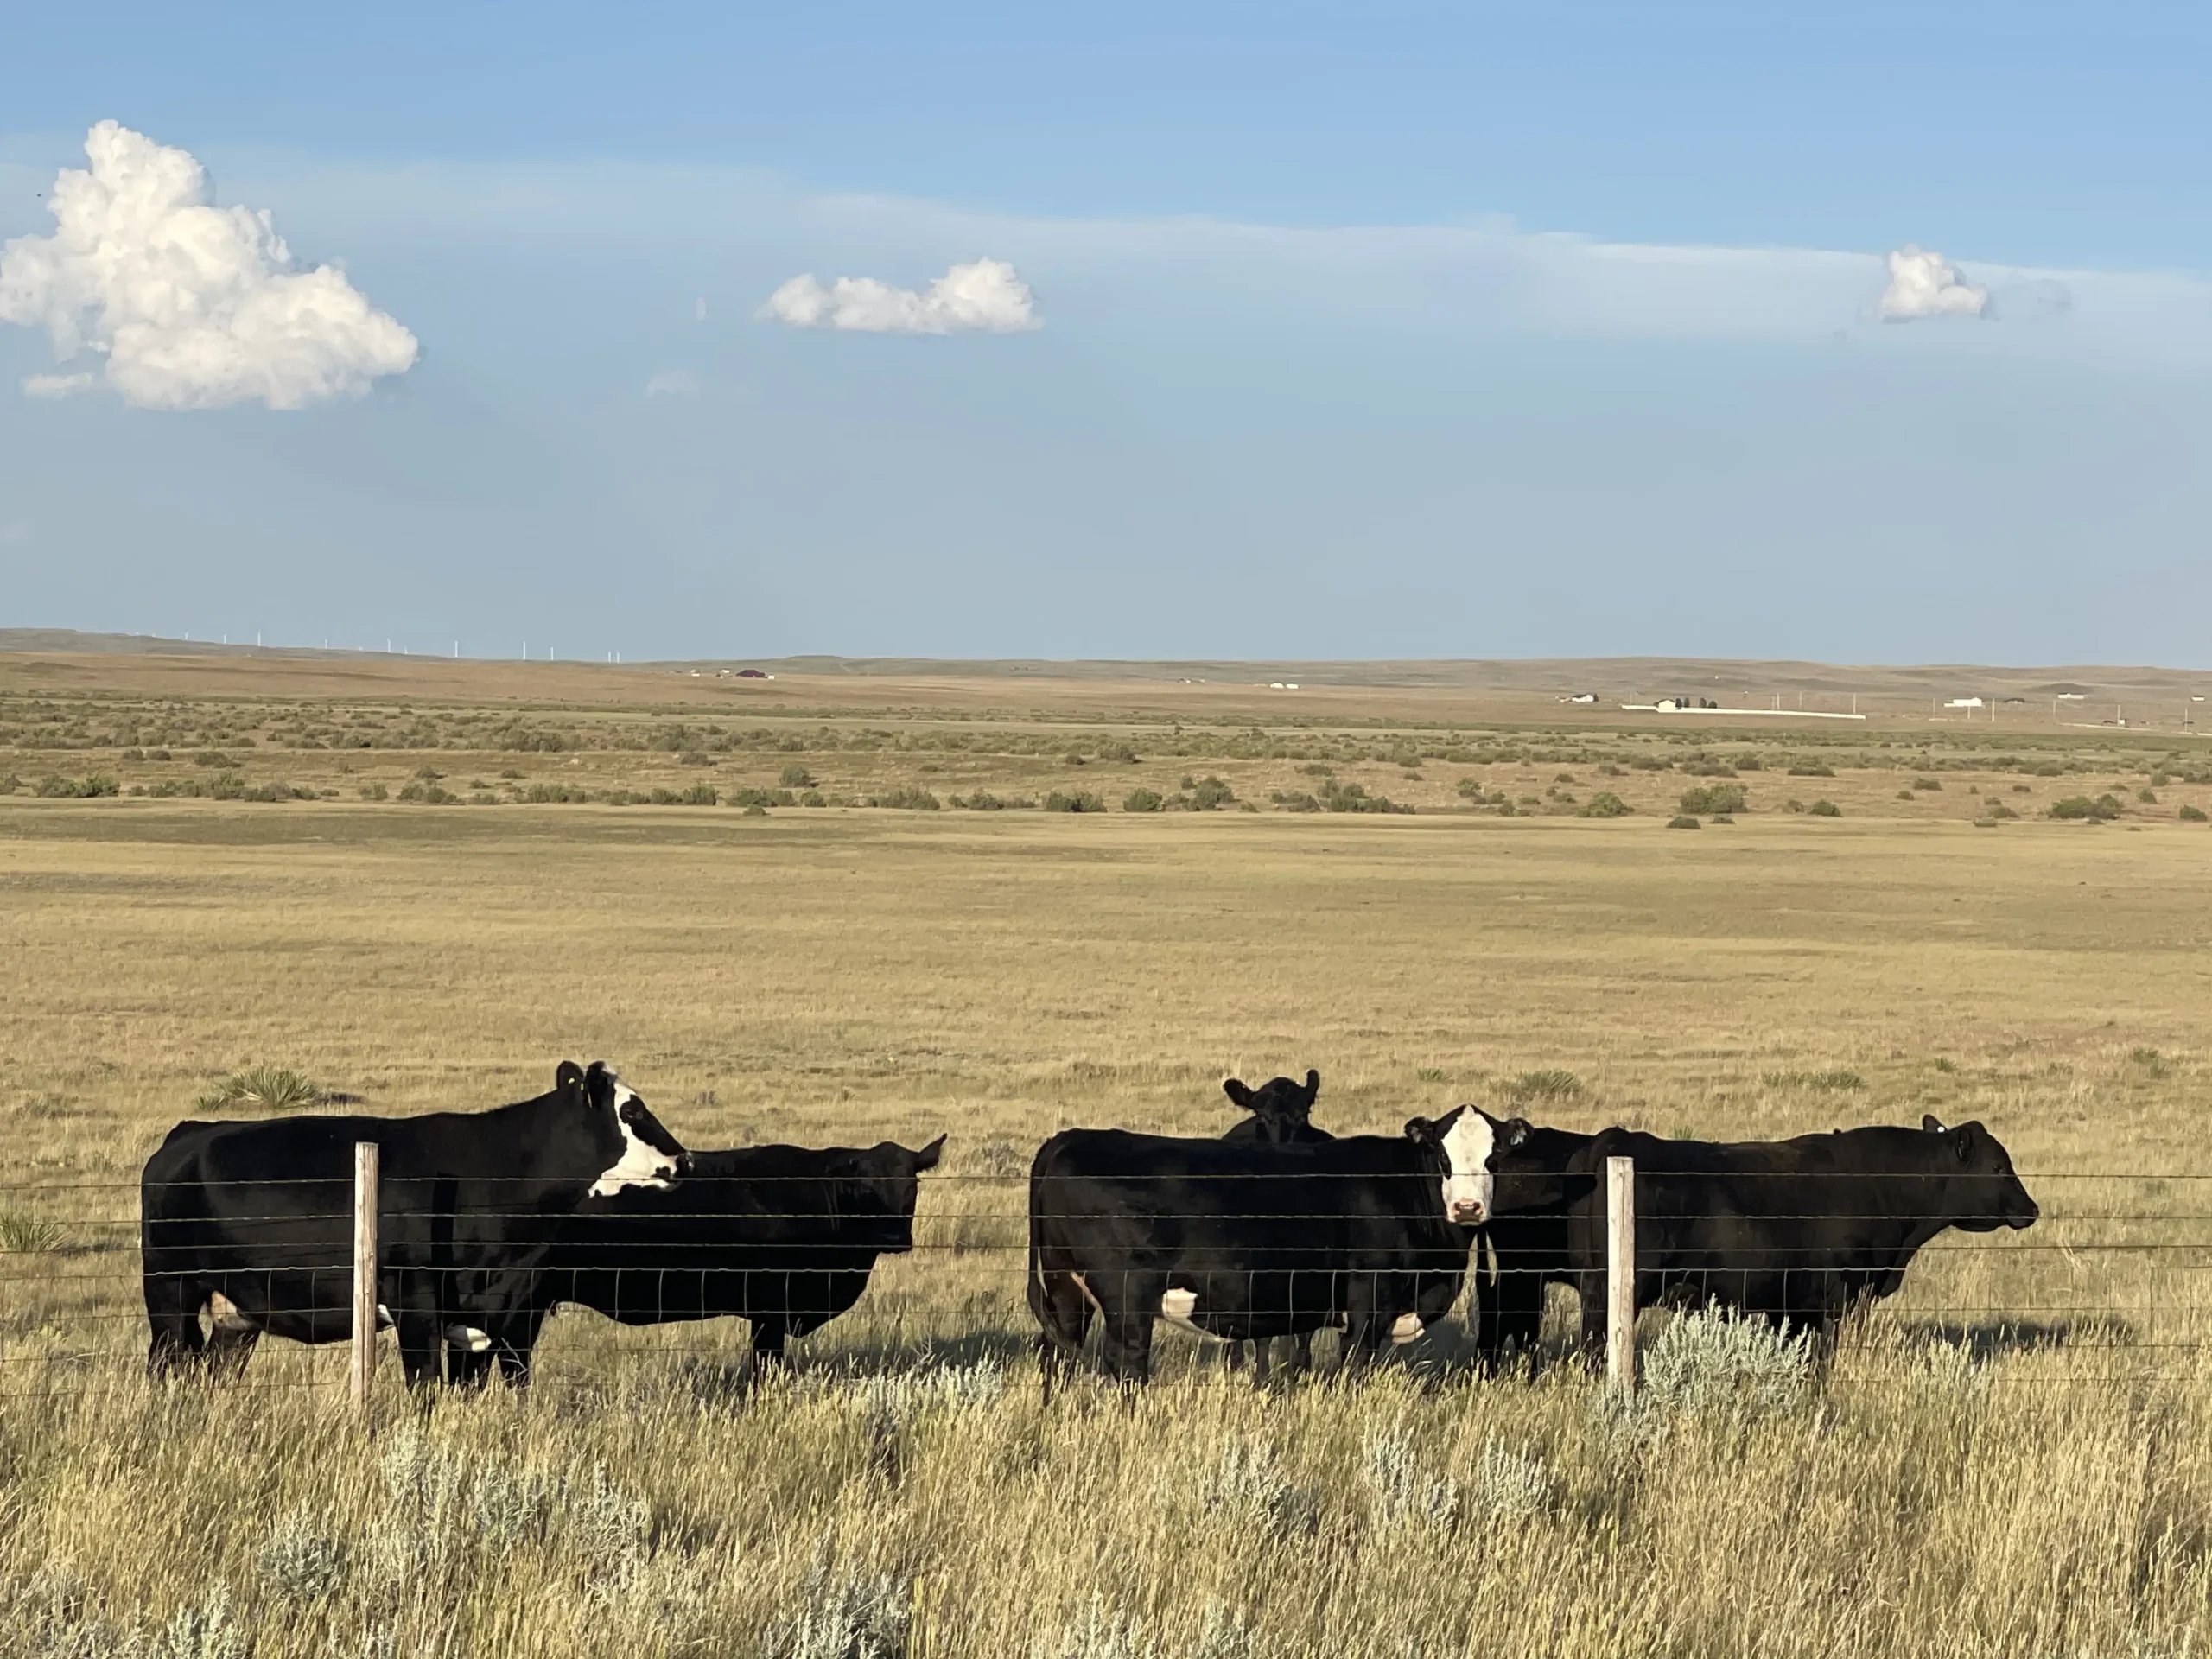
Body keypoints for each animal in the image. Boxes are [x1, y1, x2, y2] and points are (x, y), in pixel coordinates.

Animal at [140, 1061, 687, 1386]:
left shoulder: (483, 1315)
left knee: (212, 1371)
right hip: (170, 1291)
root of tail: (189, 1133)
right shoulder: (415, 1302)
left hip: (236, 1312)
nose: (684, 1160)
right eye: (633, 1111)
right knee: (167, 1362)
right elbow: (425, 1387)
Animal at [448, 1135, 947, 1385]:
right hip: (515, 1300)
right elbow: (766, 1368)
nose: (895, 1238)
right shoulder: (770, 1309)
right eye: (864, 1187)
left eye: (912, 1185)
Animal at [1028, 1106, 1530, 1395]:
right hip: (1127, 1296)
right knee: (1127, 1362)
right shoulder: (1369, 1303)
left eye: (1494, 1157)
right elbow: (1355, 1368)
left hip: (1065, 1289)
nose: (1468, 1208)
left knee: (1061, 1354)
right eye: (1443, 1158)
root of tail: (1070, 1137)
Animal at [1563, 1115, 2039, 1351]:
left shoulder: (1791, 1305)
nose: (2031, 1209)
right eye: (1999, 1167)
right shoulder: (1841, 1295)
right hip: (1613, 1289)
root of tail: (1613, 1140)